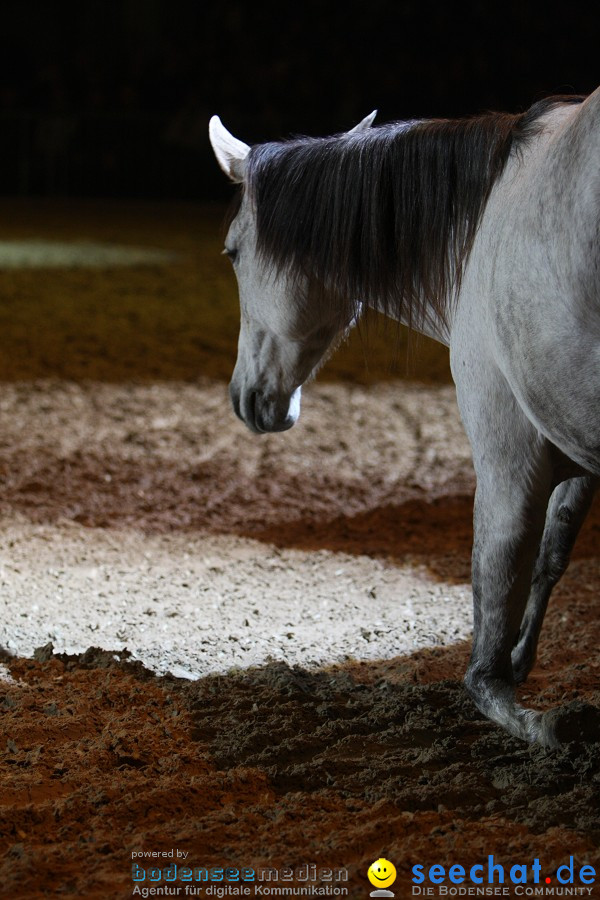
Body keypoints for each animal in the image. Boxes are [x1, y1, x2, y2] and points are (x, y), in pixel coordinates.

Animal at [210, 91, 600, 748]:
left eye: (233, 252)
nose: (246, 398)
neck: (481, 224)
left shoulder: (509, 456)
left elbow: (494, 610)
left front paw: (533, 711)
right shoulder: (571, 447)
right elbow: (550, 558)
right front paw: (524, 658)